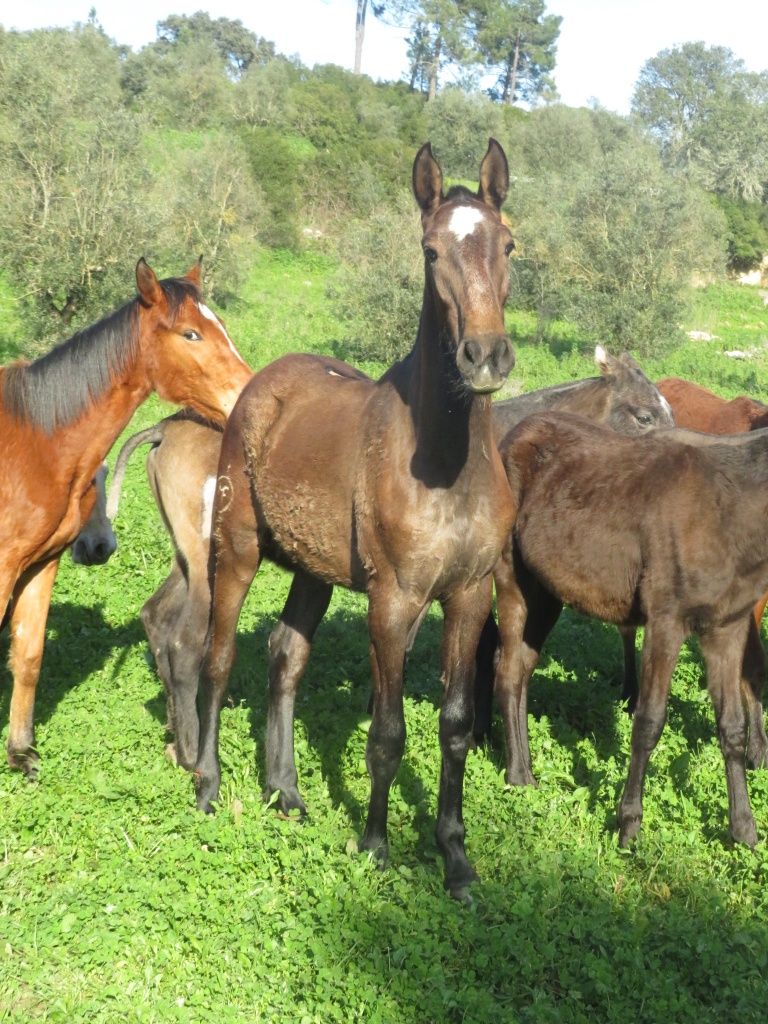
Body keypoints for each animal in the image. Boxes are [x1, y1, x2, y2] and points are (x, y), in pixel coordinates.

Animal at [0, 260, 252, 778]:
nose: (247, 391)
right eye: (191, 333)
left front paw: (20, 752)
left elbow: (29, 654)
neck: (35, 444)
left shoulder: (39, 565)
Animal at [192, 138, 518, 897]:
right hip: (236, 550)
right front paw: (374, 844)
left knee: (286, 654)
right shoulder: (392, 602)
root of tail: (261, 382)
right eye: (431, 251)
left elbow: (456, 725)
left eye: (510, 244)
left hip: (312, 570)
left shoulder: (469, 596)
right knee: (217, 659)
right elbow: (388, 730)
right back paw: (209, 784)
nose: (486, 357)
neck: (446, 465)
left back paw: (285, 791)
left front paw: (455, 858)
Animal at [493, 407, 768, 847]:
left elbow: (732, 725)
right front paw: (629, 822)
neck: (729, 511)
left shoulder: (726, 627)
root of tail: (513, 435)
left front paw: (743, 827)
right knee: (507, 670)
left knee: (520, 668)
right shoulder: (666, 621)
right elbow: (649, 721)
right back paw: (519, 776)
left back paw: (523, 767)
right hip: (514, 581)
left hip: (547, 593)